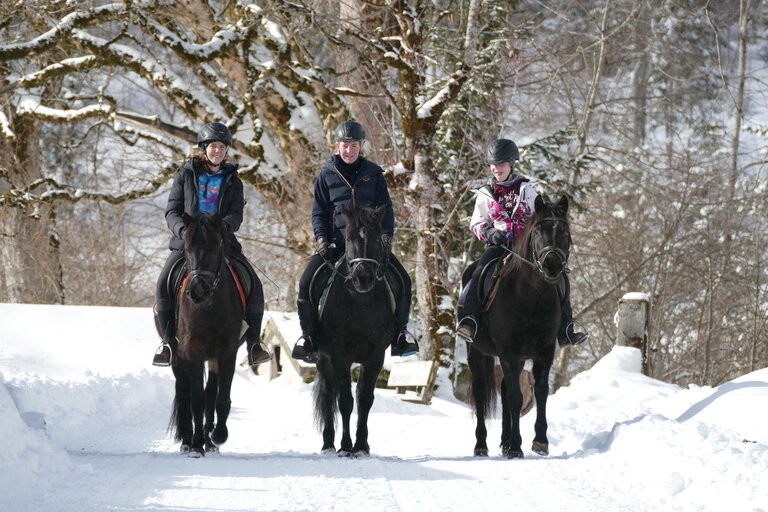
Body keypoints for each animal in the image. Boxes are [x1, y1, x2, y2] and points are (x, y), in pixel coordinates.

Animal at [169, 212, 246, 456]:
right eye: (187, 248)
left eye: (215, 246)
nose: (197, 291)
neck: (209, 308)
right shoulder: (192, 352)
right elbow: (196, 400)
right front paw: (195, 446)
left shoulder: (227, 353)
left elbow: (220, 397)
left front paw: (218, 435)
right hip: (178, 355)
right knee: (184, 391)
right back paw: (187, 441)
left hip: (212, 357)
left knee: (211, 391)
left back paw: (209, 441)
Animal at [312, 204, 400, 456]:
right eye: (349, 238)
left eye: (378, 238)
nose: (363, 278)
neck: (360, 303)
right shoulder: (339, 355)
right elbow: (345, 401)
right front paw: (345, 446)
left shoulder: (376, 356)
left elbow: (364, 398)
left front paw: (361, 446)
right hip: (323, 358)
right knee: (328, 393)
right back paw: (328, 444)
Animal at [464, 194, 572, 458]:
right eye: (538, 231)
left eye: (565, 231)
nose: (552, 264)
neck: (531, 297)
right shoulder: (508, 352)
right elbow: (515, 397)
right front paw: (516, 447)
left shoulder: (544, 351)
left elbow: (540, 392)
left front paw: (540, 441)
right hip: (476, 351)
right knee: (481, 392)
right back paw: (481, 445)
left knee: (503, 391)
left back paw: (503, 442)